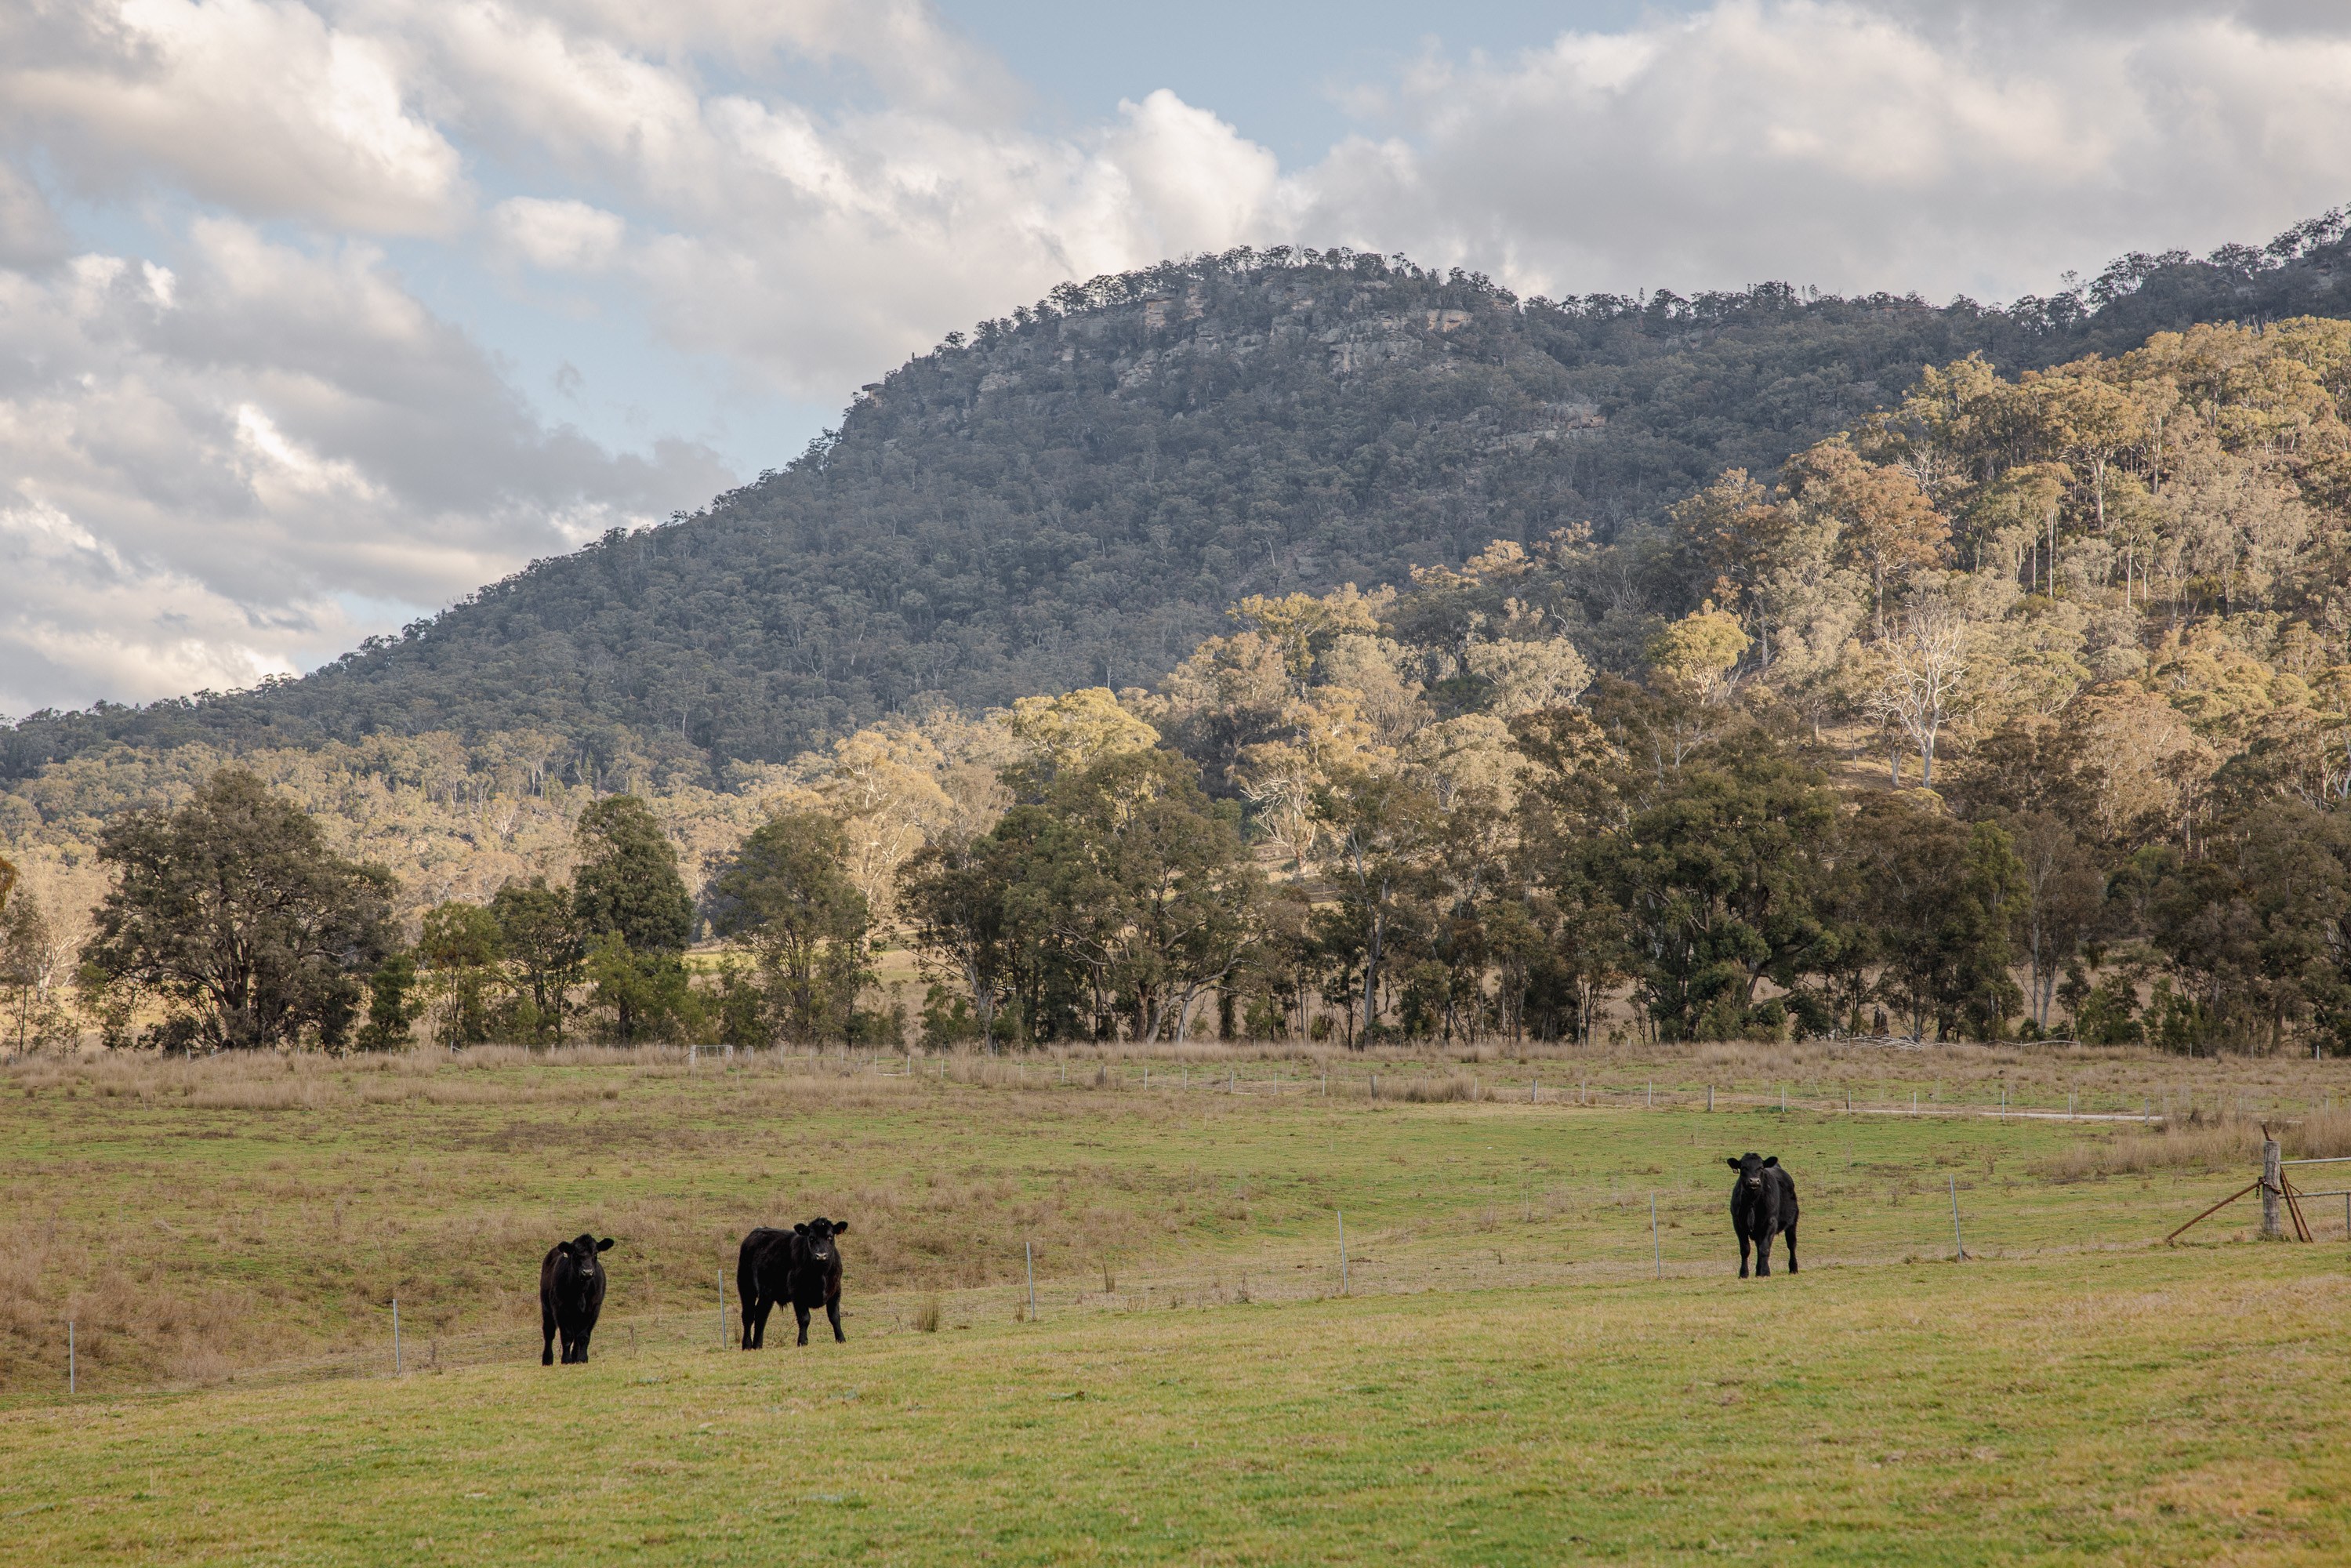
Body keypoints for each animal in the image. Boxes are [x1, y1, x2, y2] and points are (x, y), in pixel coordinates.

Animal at [540, 1234, 613, 1364]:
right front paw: (566, 1359)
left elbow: (583, 1336)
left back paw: (575, 1356)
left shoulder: (594, 1308)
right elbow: (566, 1335)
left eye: (595, 1253)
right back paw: (547, 1360)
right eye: (576, 1254)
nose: (587, 1272)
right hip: (546, 1307)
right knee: (549, 1332)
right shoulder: (560, 1308)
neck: (581, 1290)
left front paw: (582, 1358)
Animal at [737, 1218, 850, 1348]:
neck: (821, 1275)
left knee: (761, 1315)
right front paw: (802, 1341)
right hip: (746, 1286)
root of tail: (756, 1232)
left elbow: (835, 1317)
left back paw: (758, 1346)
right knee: (748, 1315)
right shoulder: (798, 1294)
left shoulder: (836, 1291)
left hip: (767, 1294)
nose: (821, 1255)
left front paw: (841, 1339)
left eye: (830, 1236)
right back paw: (747, 1345)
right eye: (811, 1237)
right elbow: (804, 1318)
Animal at [1725, 1154, 1799, 1278]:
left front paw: (1765, 1272)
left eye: (1760, 1167)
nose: (1754, 1181)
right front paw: (1744, 1273)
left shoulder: (1771, 1222)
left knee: (1791, 1244)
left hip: (1792, 1222)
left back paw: (1793, 1269)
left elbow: (1765, 1249)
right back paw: (1758, 1272)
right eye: (1743, 1167)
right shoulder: (1738, 1223)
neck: (1753, 1201)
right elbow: (1745, 1250)